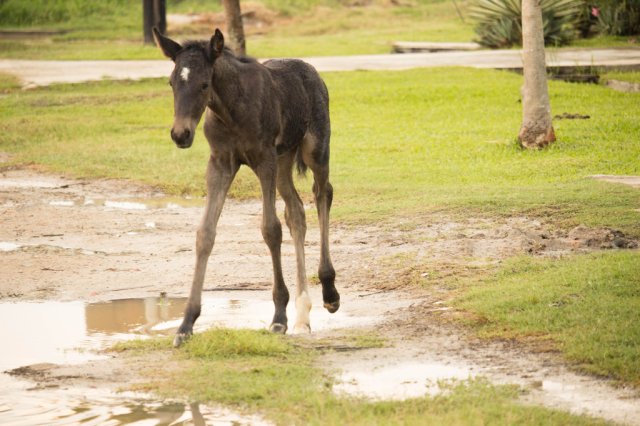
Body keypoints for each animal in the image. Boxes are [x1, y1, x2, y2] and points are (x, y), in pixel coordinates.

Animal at [153, 28, 340, 347]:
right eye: (171, 82)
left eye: (204, 84)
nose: (181, 134)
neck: (230, 109)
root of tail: (311, 70)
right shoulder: (220, 163)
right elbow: (205, 234)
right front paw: (186, 324)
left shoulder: (264, 159)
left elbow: (270, 229)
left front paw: (279, 317)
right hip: (284, 160)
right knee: (296, 212)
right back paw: (303, 313)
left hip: (314, 148)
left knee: (322, 194)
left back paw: (328, 290)